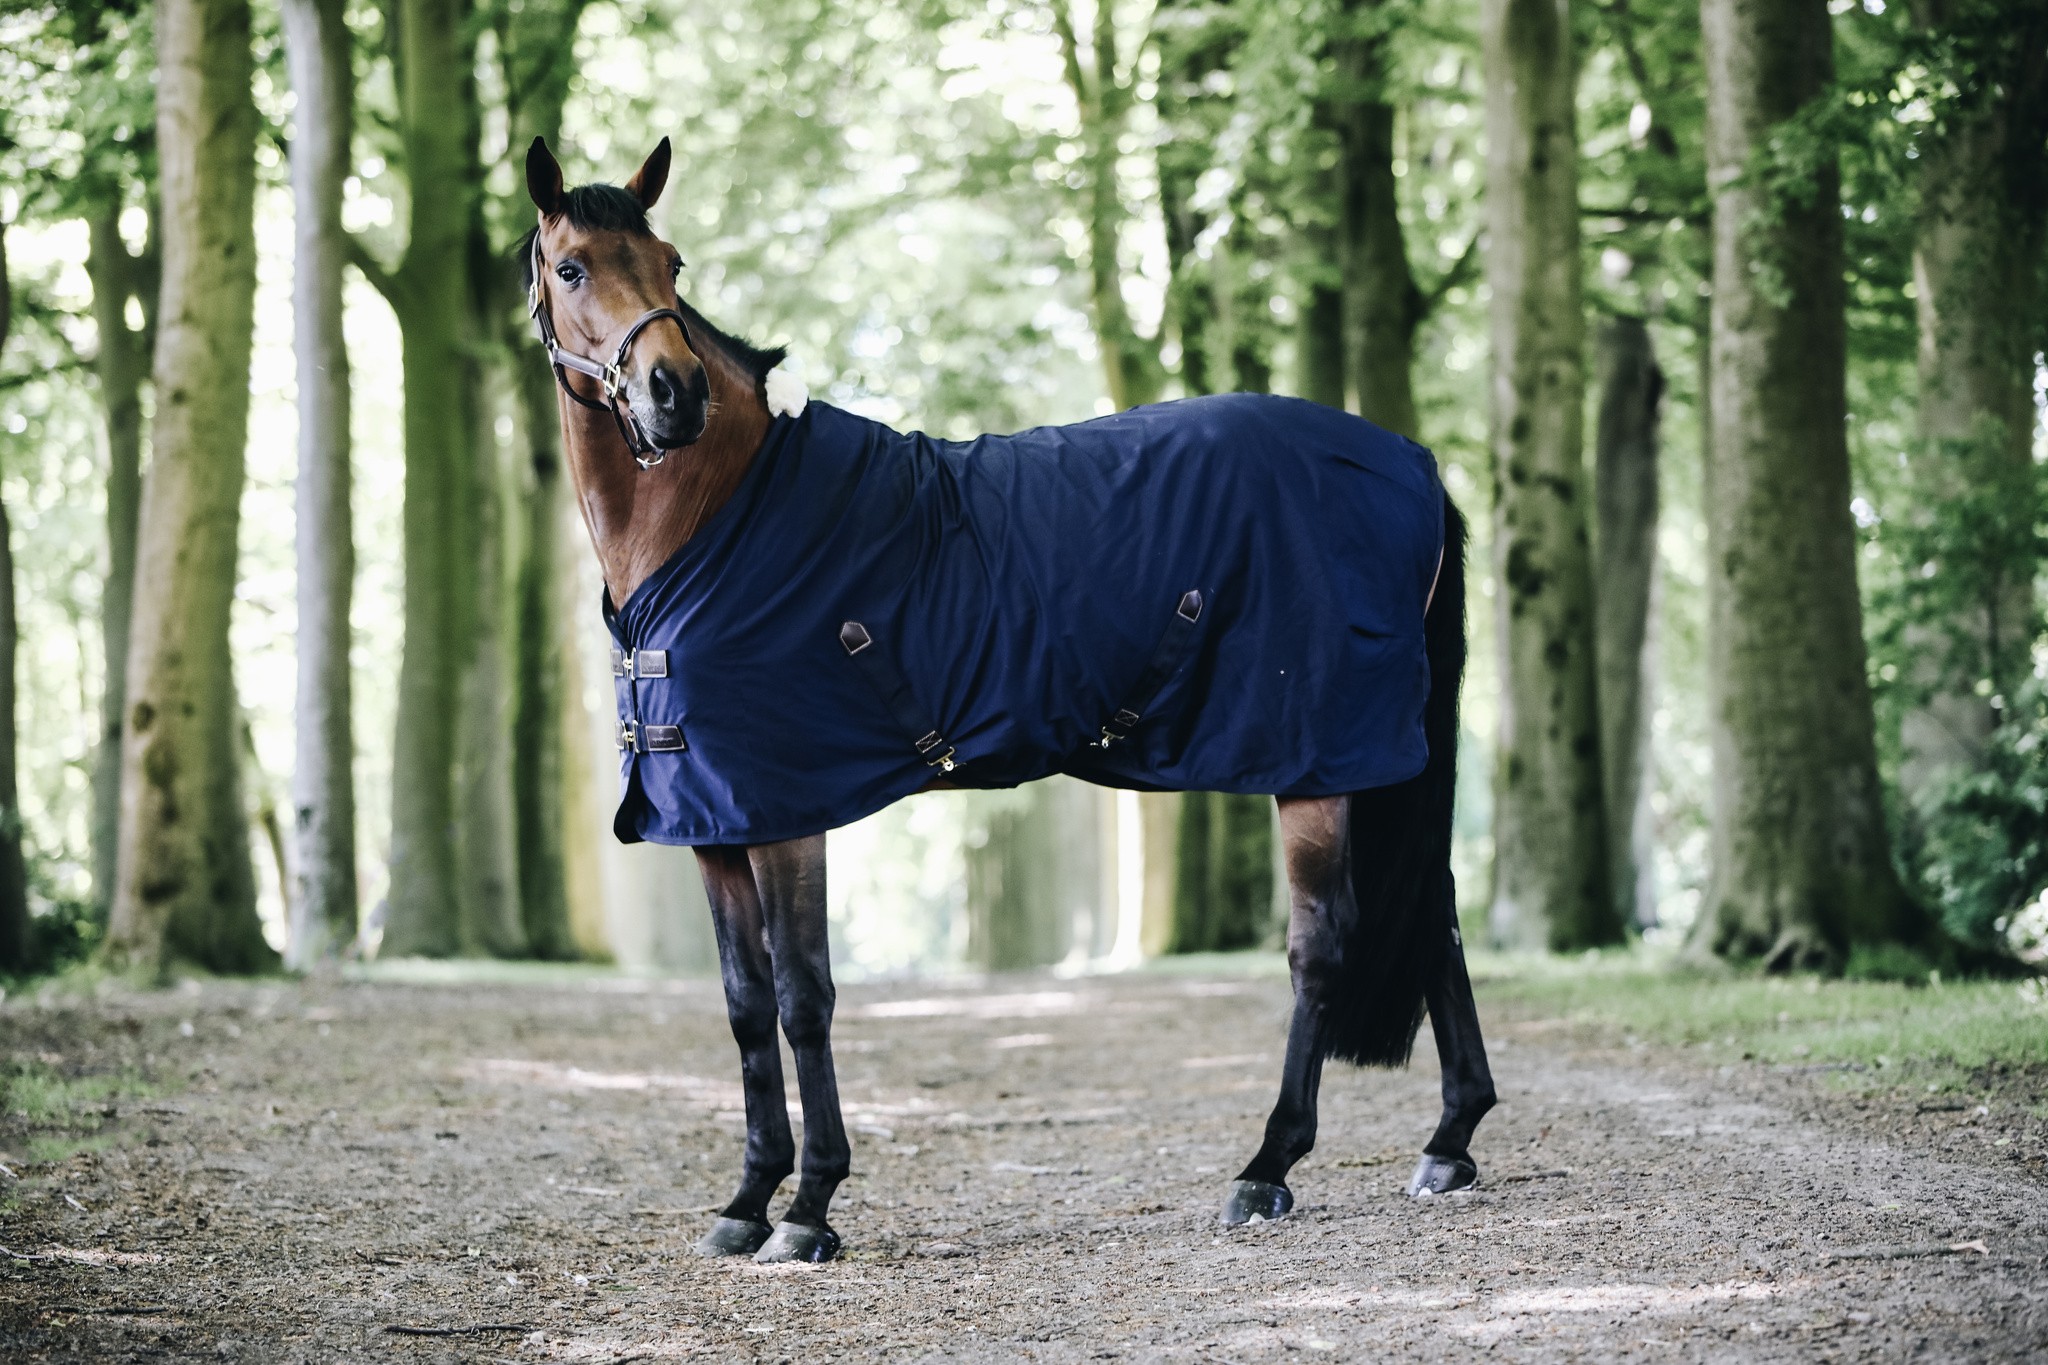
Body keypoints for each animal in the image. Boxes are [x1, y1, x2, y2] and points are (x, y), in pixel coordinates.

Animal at [520, 136, 1497, 1264]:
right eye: (573, 268)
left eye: (671, 263)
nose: (673, 393)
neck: (722, 513)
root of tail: (1411, 464)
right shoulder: (715, 821)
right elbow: (744, 1003)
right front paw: (747, 1197)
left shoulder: (786, 811)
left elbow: (804, 996)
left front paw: (810, 1206)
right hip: (1377, 758)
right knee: (1435, 914)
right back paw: (1449, 1140)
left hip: (1319, 763)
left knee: (1322, 944)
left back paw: (1267, 1165)